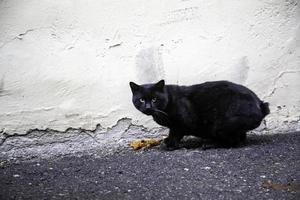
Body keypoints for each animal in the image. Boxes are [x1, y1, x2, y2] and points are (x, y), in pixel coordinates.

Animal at [129, 79, 270, 150]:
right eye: (141, 100)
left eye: (154, 99)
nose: (148, 107)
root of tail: (260, 104)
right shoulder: (173, 126)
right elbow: (171, 132)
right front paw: (167, 140)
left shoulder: (180, 124)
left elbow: (176, 134)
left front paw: (171, 145)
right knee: (241, 138)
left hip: (221, 126)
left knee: (234, 142)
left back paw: (210, 145)